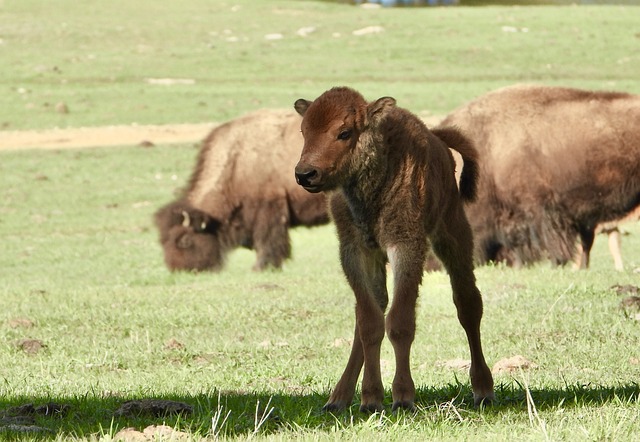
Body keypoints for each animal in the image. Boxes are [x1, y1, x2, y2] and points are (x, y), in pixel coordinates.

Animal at [152, 109, 328, 272]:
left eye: (185, 240)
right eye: (162, 241)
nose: (178, 270)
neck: (236, 162)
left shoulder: (269, 210)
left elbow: (268, 240)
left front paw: (261, 267)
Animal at [292, 87, 492, 414]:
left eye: (344, 132)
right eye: (304, 131)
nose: (305, 174)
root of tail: (438, 139)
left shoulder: (406, 246)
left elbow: (399, 321)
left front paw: (403, 397)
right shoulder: (356, 252)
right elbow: (369, 323)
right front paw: (371, 399)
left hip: (453, 234)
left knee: (468, 303)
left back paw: (483, 389)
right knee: (373, 312)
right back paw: (338, 398)